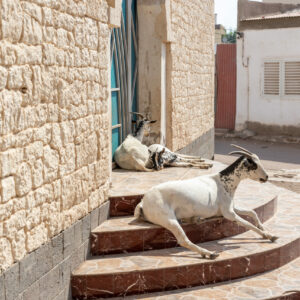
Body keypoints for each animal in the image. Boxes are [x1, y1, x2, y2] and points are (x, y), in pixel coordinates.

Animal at [135, 144, 278, 258]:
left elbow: (252, 212)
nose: (266, 177)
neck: (223, 182)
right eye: (254, 165)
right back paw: (209, 253)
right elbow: (247, 224)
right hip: (168, 219)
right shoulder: (229, 213)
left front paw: (263, 228)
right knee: (183, 240)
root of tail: (143, 202)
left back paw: (196, 220)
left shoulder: (231, 207)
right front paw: (269, 236)